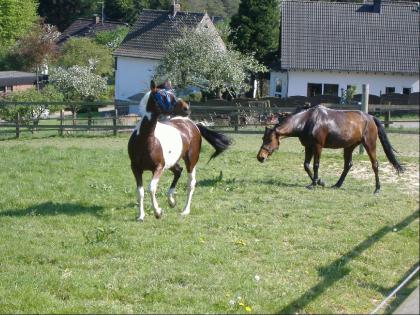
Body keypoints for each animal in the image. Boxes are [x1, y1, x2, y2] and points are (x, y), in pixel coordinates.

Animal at [129, 80, 231, 221]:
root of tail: (193, 124)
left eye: (172, 93)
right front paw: (141, 216)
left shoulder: (158, 167)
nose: (186, 108)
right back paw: (171, 201)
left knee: (191, 183)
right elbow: (140, 192)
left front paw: (158, 212)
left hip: (191, 160)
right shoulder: (136, 168)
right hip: (171, 162)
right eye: (163, 96)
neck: (145, 140)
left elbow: (151, 188)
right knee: (178, 171)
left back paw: (185, 210)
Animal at [256, 105, 404, 195]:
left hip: (369, 145)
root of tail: (371, 117)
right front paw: (320, 182)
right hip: (349, 147)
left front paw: (314, 183)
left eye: (269, 140)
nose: (260, 157)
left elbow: (315, 165)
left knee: (375, 165)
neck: (307, 121)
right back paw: (337, 185)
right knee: (348, 165)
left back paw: (377, 189)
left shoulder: (317, 146)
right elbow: (306, 165)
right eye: (263, 138)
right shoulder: (308, 146)